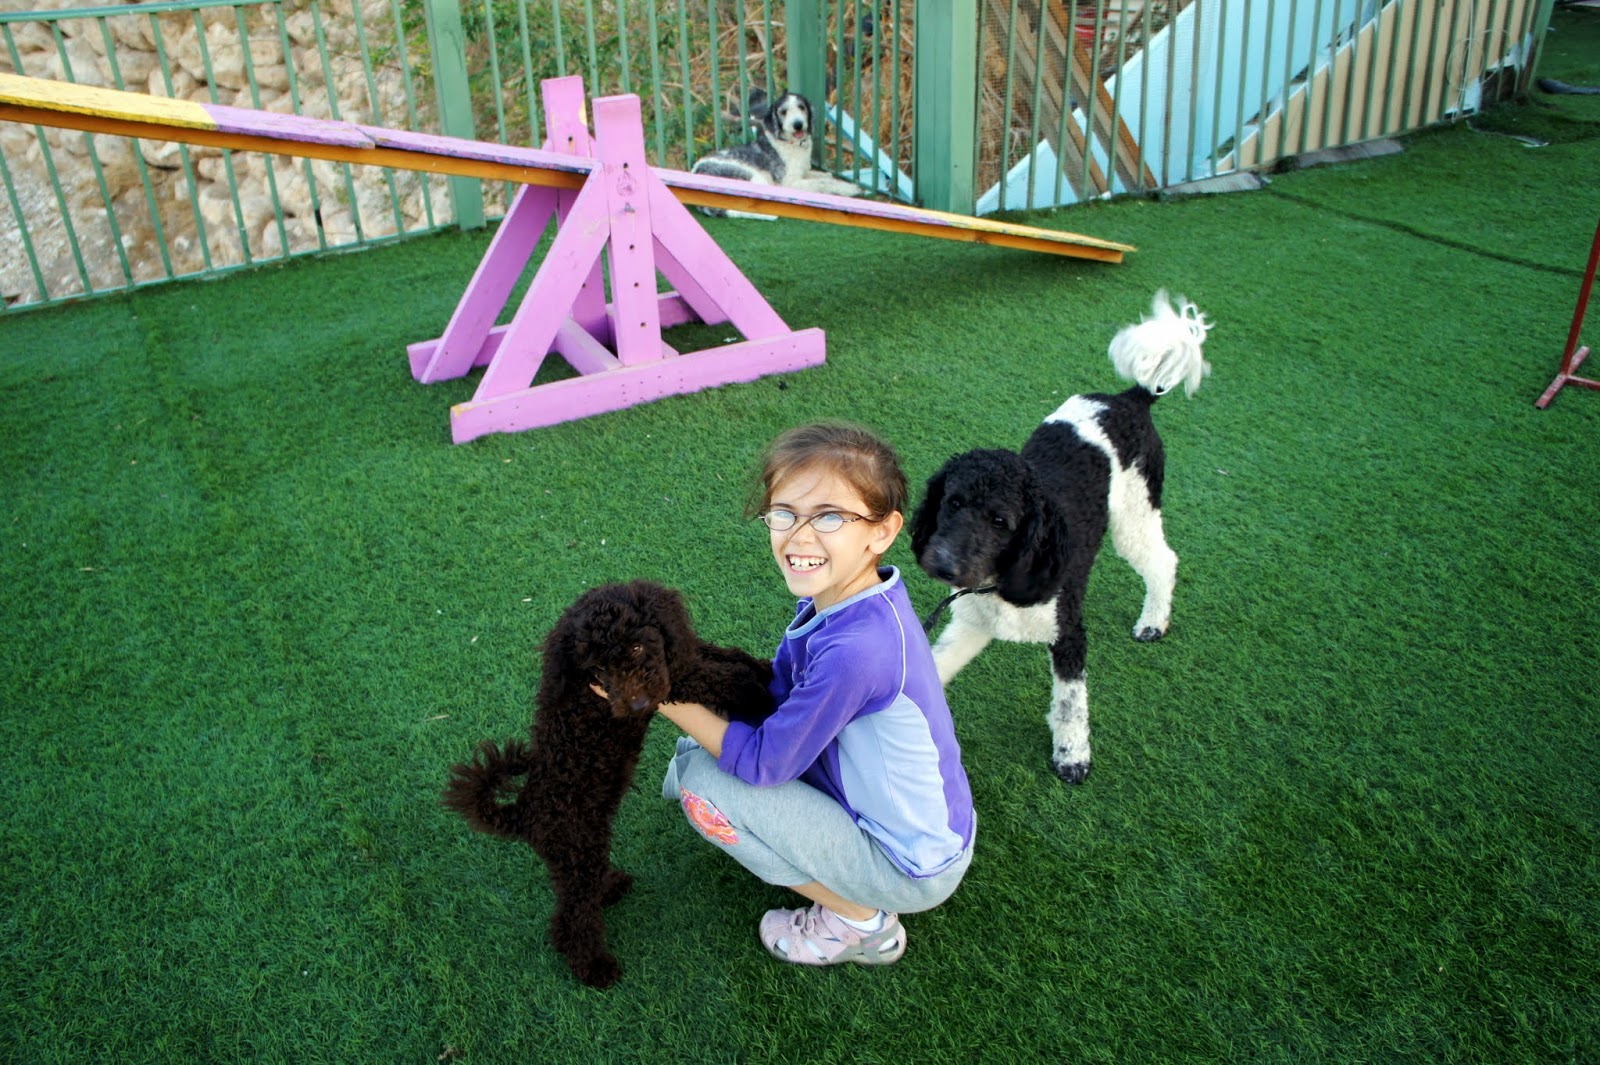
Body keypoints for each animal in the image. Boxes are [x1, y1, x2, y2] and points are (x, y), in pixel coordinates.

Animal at [442, 580, 773, 988]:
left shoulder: (672, 654)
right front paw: (755, 691)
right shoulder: (668, 685)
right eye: (597, 668)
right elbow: (705, 675)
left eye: (636, 647)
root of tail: (522, 811)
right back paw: (594, 966)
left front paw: (758, 666)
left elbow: (706, 653)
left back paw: (611, 886)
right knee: (571, 918)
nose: (637, 705)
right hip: (577, 850)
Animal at [690, 88, 863, 220]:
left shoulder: (803, 172)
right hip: (755, 179)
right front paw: (851, 189)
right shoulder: (790, 183)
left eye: (802, 107)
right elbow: (823, 183)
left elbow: (825, 176)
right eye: (783, 112)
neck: (791, 143)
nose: (798, 124)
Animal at [911, 291, 1212, 784]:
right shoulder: (971, 625)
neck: (999, 583)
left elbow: (1071, 703)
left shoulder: (1069, 633)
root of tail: (1130, 399)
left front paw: (1072, 756)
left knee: (1163, 561)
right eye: (952, 502)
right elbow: (932, 670)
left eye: (1001, 521)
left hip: (1135, 514)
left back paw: (1153, 621)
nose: (941, 563)